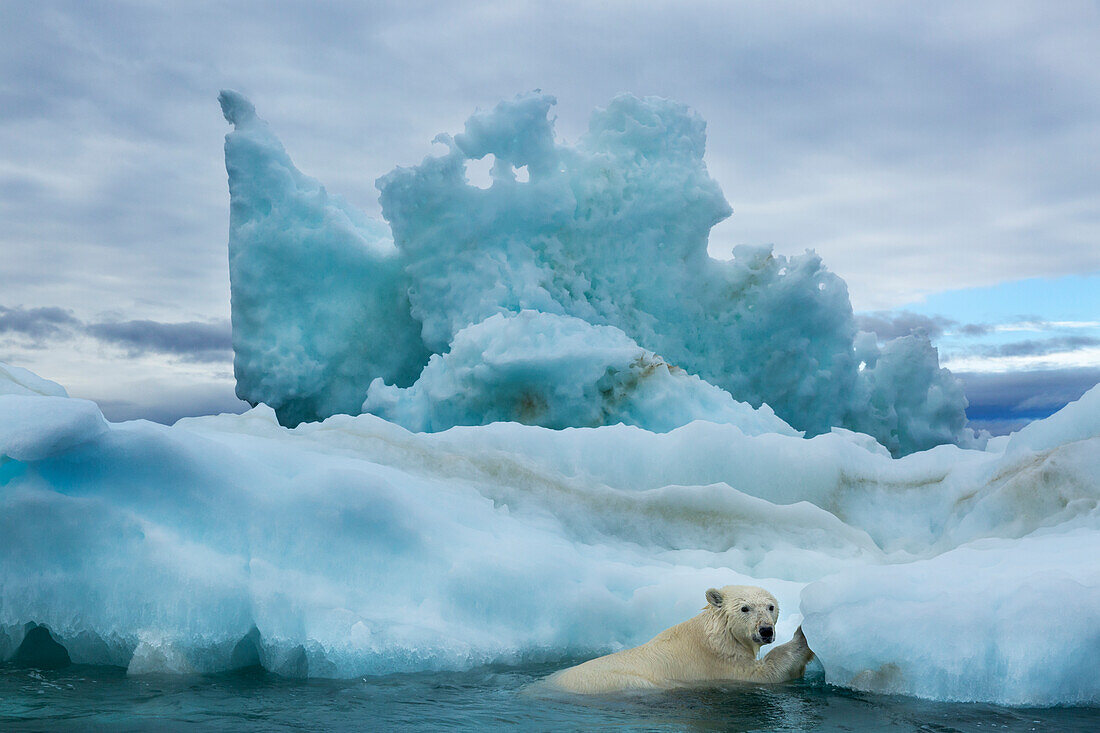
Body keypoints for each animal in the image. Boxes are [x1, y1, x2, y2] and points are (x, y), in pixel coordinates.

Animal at [545, 581, 814, 691]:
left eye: (770, 607)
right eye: (745, 608)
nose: (766, 630)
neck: (714, 636)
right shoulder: (719, 662)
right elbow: (764, 673)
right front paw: (803, 634)